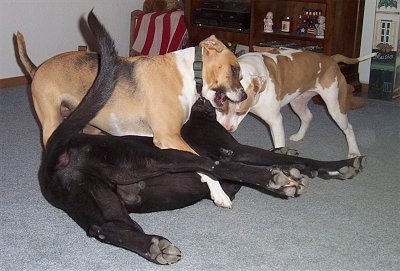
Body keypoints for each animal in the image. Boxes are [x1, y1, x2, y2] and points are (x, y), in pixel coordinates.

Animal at [16, 32, 247, 208]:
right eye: (235, 69)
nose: (244, 96)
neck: (190, 73)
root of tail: (38, 68)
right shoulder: (168, 137)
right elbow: (203, 165)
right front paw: (219, 193)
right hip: (51, 123)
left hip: (90, 126)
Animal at [216, 47, 376, 159]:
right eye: (218, 107)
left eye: (240, 112)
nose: (226, 128)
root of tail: (330, 59)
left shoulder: (275, 121)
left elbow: (279, 144)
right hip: (298, 102)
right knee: (307, 117)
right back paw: (299, 136)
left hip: (335, 107)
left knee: (348, 127)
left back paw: (354, 151)